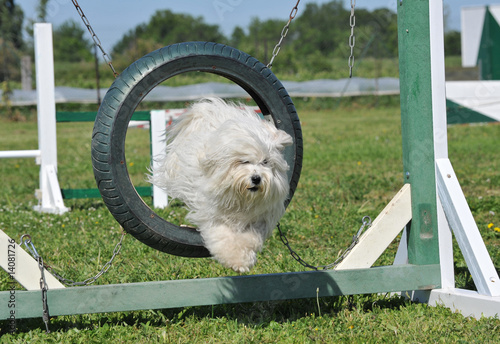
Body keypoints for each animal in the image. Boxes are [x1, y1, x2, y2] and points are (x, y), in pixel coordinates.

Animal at [152, 97, 292, 272]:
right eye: (244, 161)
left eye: (265, 162)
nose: (256, 178)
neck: (241, 197)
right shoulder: (212, 212)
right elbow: (222, 234)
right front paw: (236, 259)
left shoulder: (260, 217)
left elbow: (250, 236)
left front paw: (243, 258)